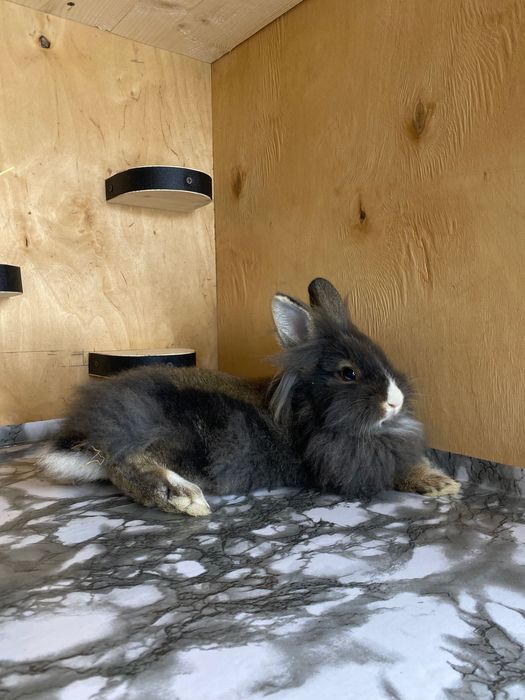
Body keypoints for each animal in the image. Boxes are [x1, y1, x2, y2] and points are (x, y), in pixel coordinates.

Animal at [38, 278, 460, 515]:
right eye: (349, 373)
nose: (395, 401)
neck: (309, 409)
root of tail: (89, 428)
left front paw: (444, 479)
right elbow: (396, 472)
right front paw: (442, 484)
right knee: (125, 463)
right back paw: (183, 496)